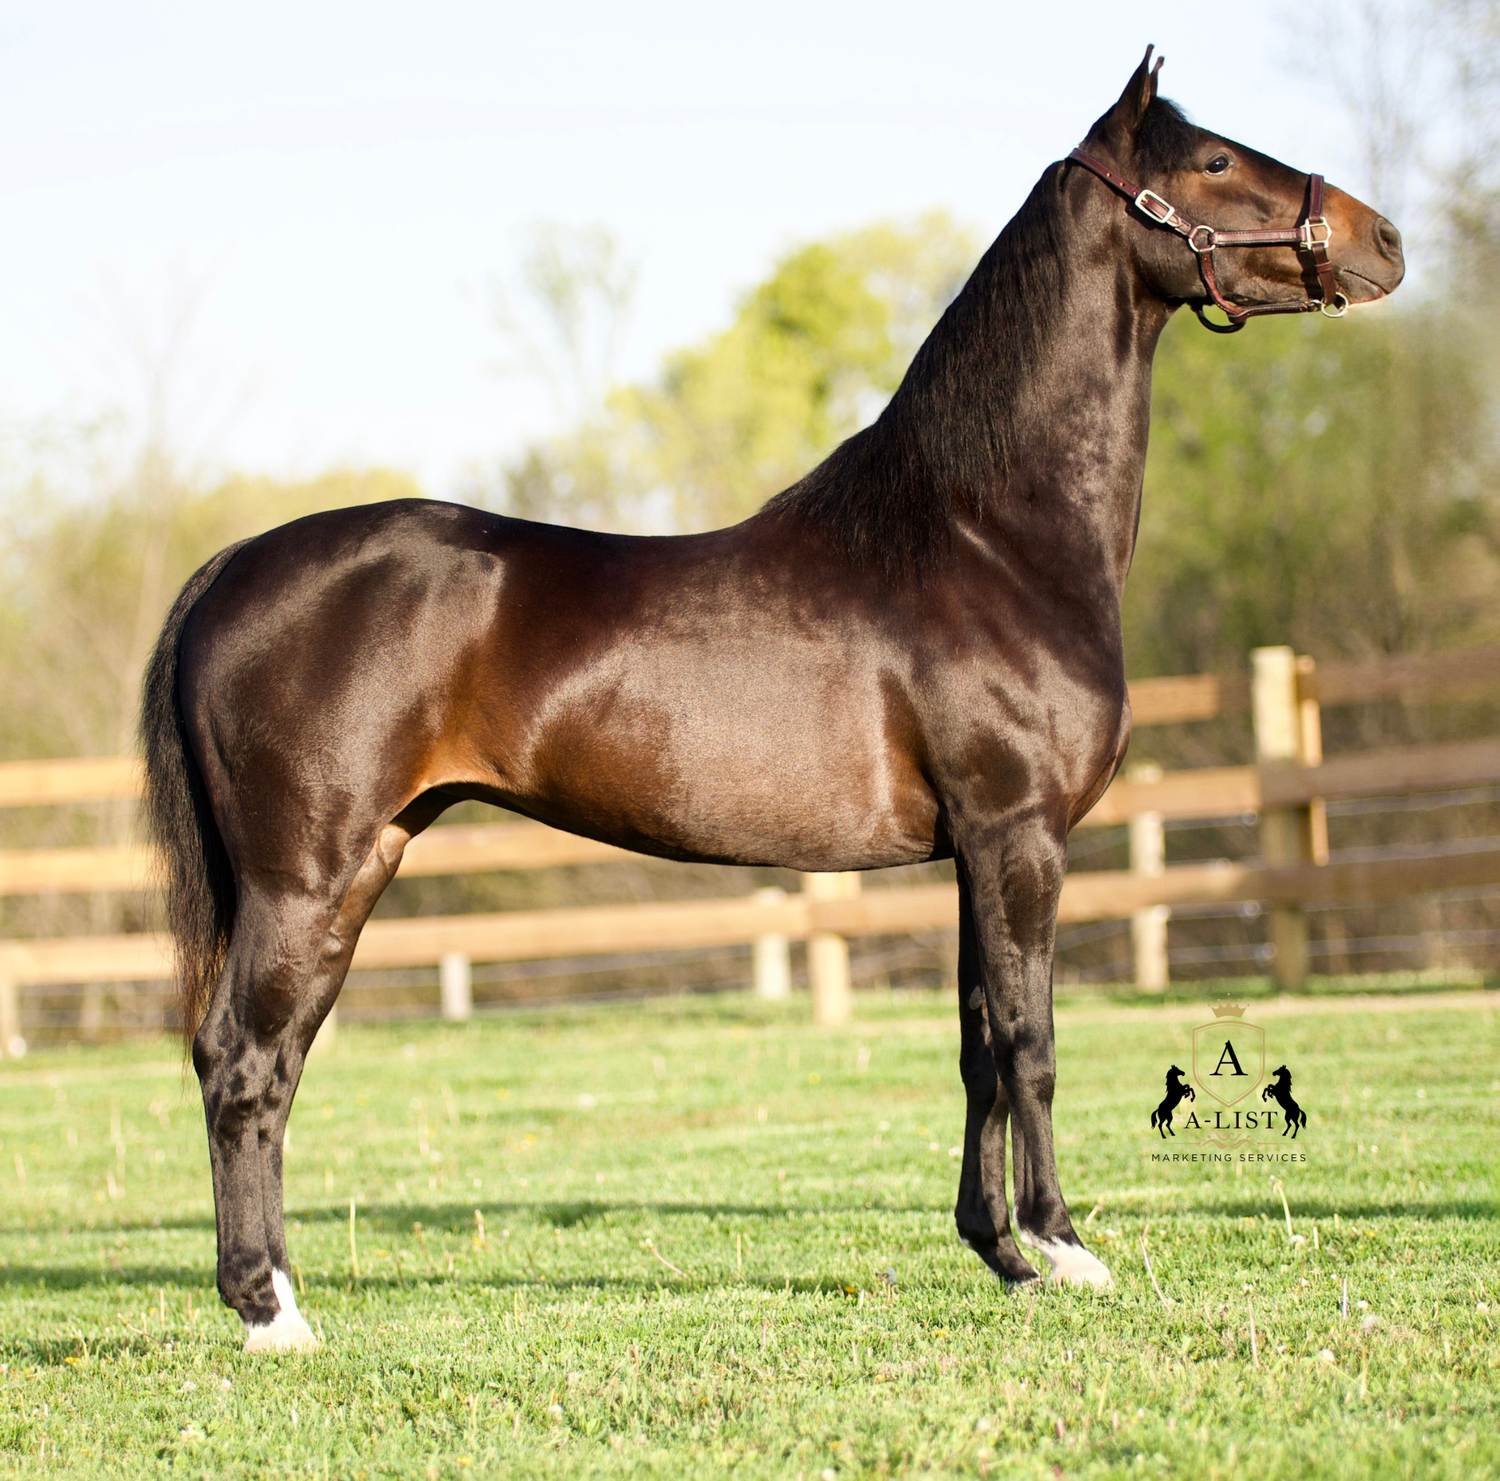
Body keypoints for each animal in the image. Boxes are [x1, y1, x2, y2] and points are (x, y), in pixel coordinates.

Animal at [141, 49, 1402, 1351]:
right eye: (1214, 160)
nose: (1385, 241)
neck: (985, 533)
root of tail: (232, 568)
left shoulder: (974, 850)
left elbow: (977, 1048)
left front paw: (999, 1250)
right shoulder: (1021, 836)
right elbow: (1032, 1040)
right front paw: (1064, 1247)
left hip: (358, 865)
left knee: (268, 1062)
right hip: (305, 878)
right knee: (243, 1062)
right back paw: (270, 1311)